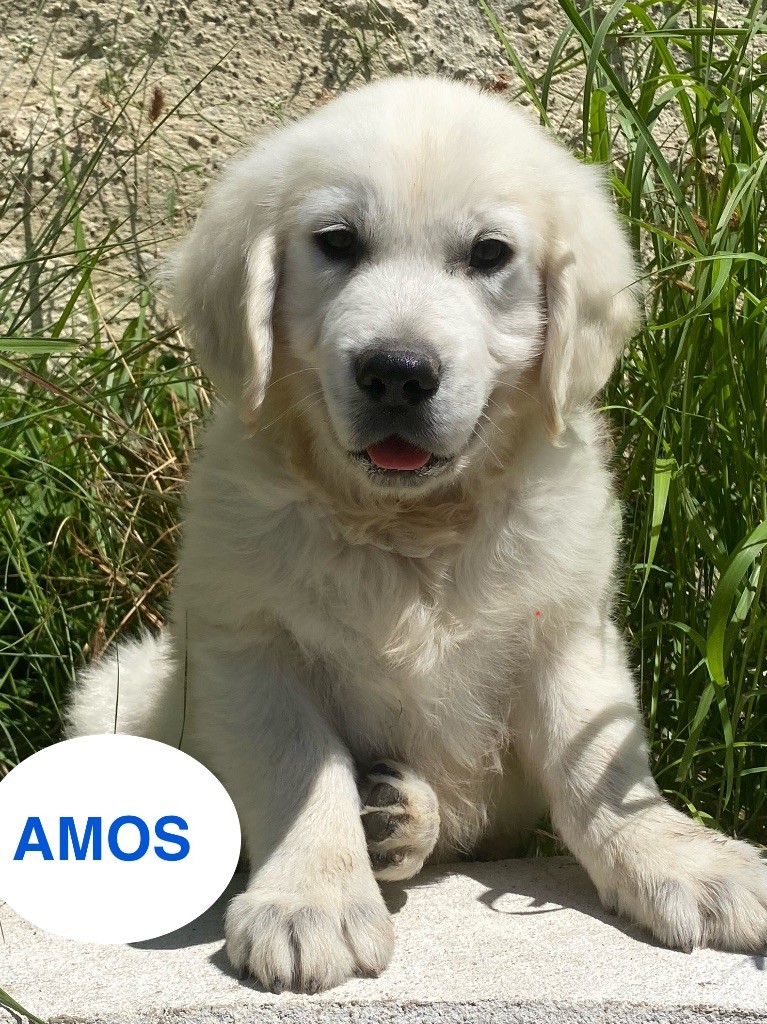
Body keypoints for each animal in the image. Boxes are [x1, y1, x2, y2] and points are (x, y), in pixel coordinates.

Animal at [67, 75, 767, 992]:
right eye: (336, 242)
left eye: (489, 255)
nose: (397, 372)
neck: (409, 526)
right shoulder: (244, 640)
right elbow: (301, 765)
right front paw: (311, 901)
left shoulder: (567, 630)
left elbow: (600, 767)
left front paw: (687, 863)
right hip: (119, 690)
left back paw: (400, 815)